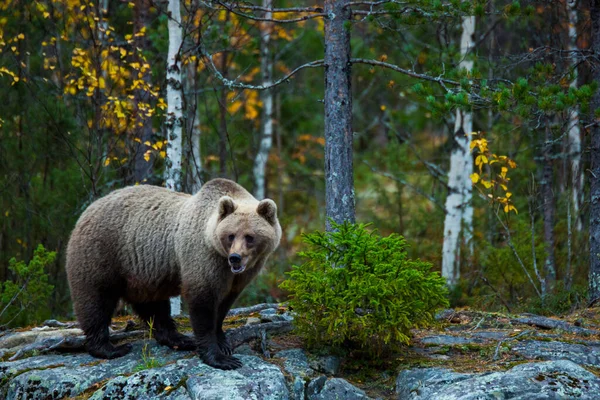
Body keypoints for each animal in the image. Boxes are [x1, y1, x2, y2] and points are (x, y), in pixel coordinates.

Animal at [65, 178, 282, 368]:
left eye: (249, 237)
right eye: (230, 235)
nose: (235, 258)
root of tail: (87, 210)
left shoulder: (239, 275)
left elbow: (224, 304)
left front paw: (223, 341)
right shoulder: (203, 258)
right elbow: (202, 304)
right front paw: (220, 358)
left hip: (143, 273)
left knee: (154, 306)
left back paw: (179, 339)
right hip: (103, 254)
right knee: (96, 299)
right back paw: (110, 348)